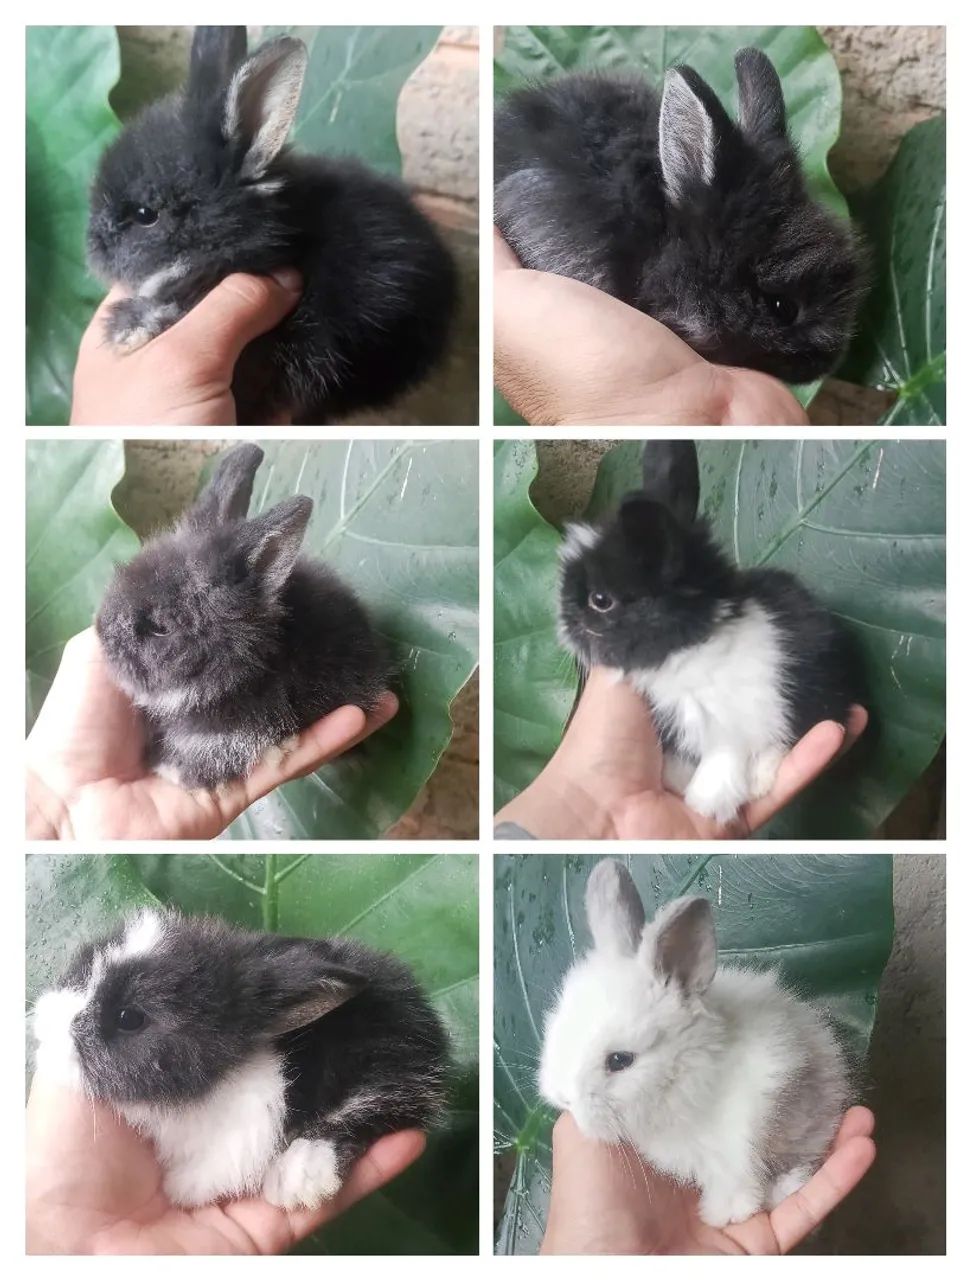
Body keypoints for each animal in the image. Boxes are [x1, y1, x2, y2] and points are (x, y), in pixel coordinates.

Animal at [557, 441, 861, 824]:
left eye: (600, 600)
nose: (563, 626)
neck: (693, 649)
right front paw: (679, 782)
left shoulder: (736, 722)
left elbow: (726, 756)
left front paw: (706, 802)